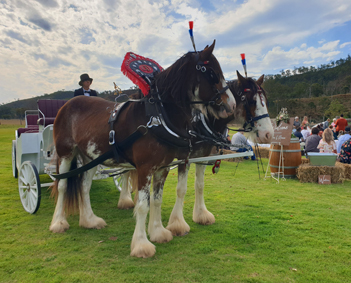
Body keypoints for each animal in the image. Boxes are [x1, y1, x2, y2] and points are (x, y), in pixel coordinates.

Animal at [49, 40, 236, 260]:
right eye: (212, 72)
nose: (232, 104)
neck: (157, 117)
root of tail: (68, 104)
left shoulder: (163, 167)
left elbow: (156, 200)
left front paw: (158, 232)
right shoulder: (145, 169)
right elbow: (143, 204)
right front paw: (141, 244)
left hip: (90, 157)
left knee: (84, 186)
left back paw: (89, 220)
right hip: (66, 153)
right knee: (62, 185)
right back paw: (59, 222)